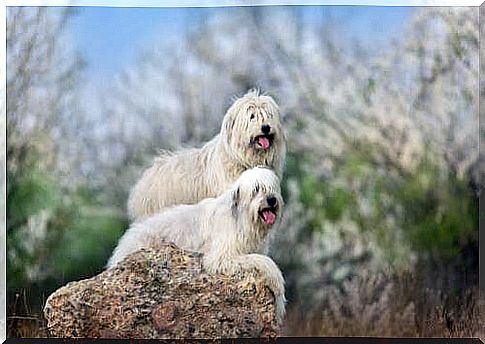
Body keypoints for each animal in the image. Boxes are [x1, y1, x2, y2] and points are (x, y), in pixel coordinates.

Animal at [108, 168, 286, 324]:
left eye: (272, 188)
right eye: (257, 189)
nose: (272, 200)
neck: (241, 218)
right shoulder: (221, 257)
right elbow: (265, 262)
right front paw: (278, 289)